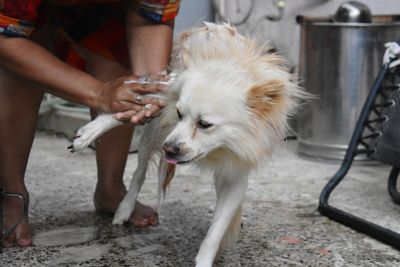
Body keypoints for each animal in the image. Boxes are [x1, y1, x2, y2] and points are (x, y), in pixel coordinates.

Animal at [71, 23, 304, 267]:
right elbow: (134, 107)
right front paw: (90, 132)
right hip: (152, 135)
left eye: (205, 124)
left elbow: (216, 230)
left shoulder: (236, 177)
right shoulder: (167, 91)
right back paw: (124, 209)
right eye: (179, 114)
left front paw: (205, 258)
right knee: (139, 173)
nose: (169, 149)